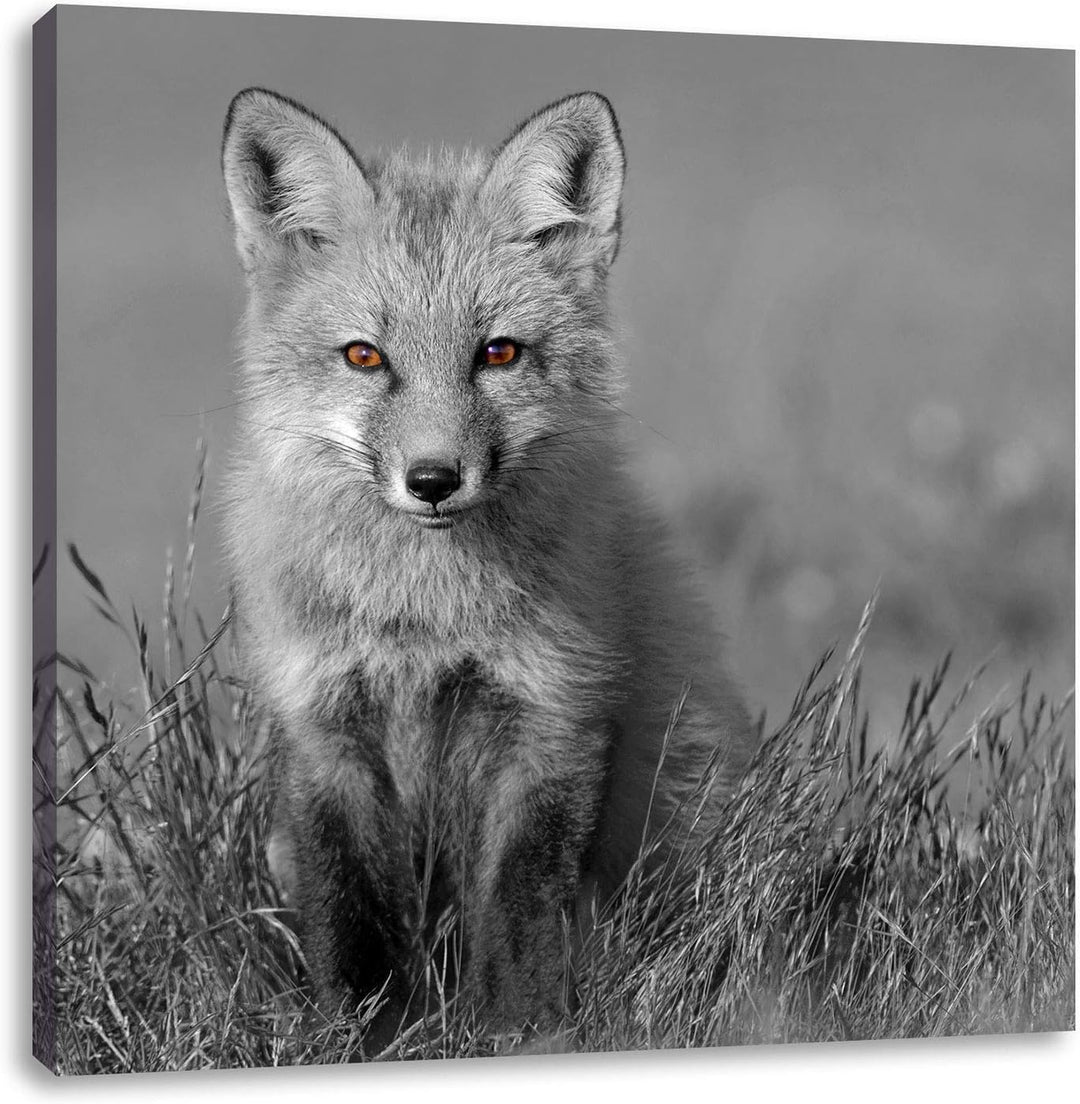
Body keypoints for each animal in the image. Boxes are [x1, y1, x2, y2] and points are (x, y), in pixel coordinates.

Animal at [220, 86, 754, 1046]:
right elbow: (350, 913)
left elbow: (517, 909)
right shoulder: (323, 724)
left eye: (496, 352)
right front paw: (361, 1040)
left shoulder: (552, 713)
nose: (433, 480)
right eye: (366, 356)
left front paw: (519, 1036)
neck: (423, 617)